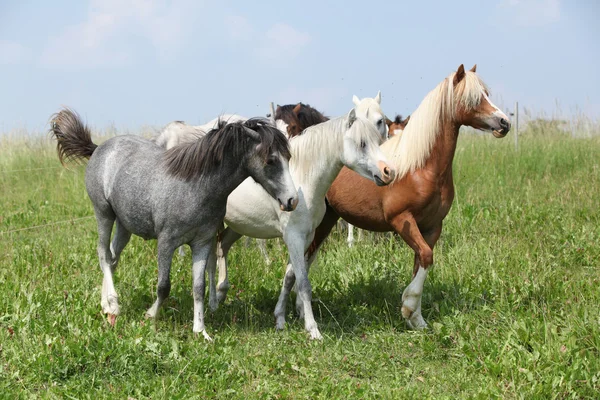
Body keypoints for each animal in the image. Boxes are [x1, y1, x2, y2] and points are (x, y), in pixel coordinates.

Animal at [49, 108, 298, 340]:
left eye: (288, 158)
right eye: (270, 160)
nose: (292, 200)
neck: (196, 186)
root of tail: (99, 148)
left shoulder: (202, 243)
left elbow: (199, 287)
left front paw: (201, 331)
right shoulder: (166, 242)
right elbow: (164, 286)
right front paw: (151, 316)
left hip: (124, 225)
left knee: (112, 258)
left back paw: (105, 304)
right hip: (104, 214)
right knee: (103, 253)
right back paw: (113, 304)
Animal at [298, 64, 508, 330]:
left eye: (486, 93)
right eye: (471, 98)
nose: (504, 122)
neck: (421, 168)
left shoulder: (431, 226)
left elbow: (421, 261)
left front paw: (416, 320)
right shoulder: (401, 220)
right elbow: (426, 256)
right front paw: (408, 308)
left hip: (327, 220)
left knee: (306, 257)